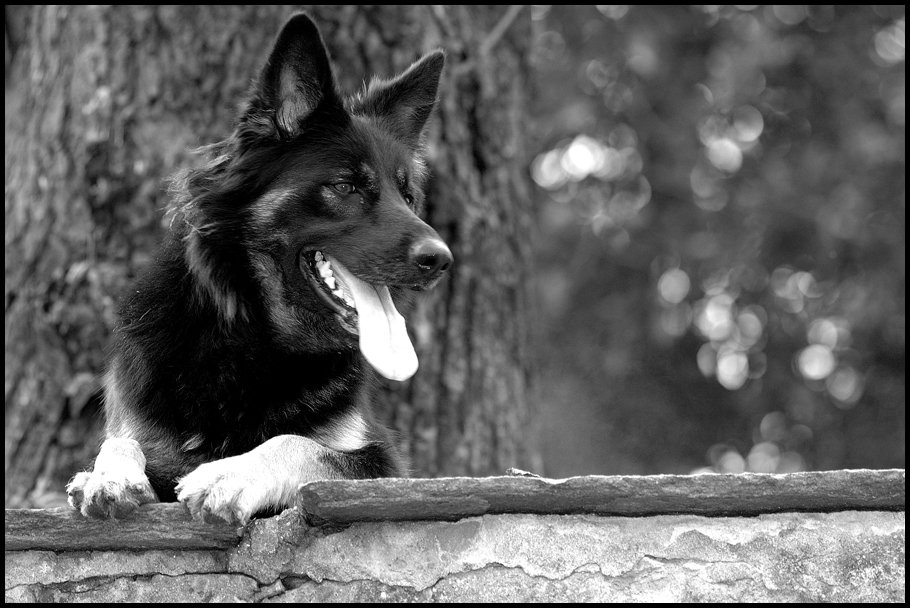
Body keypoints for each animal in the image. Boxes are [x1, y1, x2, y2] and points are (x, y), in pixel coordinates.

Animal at [66, 13, 452, 525]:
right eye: (346, 186)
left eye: (408, 198)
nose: (441, 259)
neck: (249, 341)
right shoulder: (142, 424)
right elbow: (119, 442)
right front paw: (107, 475)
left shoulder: (382, 463)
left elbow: (296, 442)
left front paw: (228, 474)